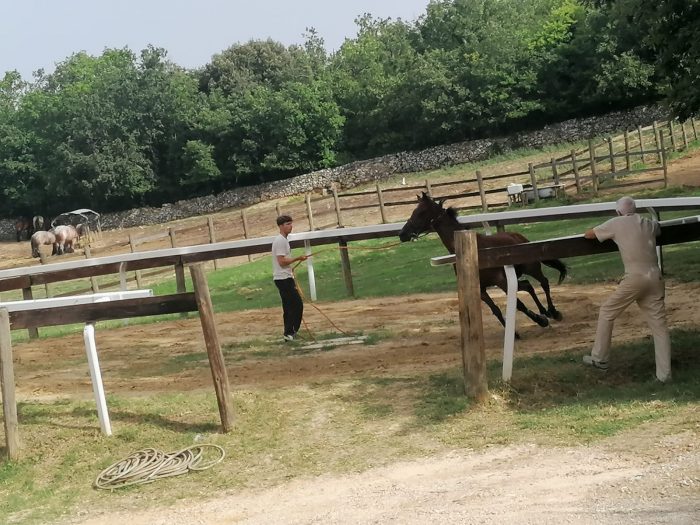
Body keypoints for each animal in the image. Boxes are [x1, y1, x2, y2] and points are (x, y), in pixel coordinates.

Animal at [396, 192, 568, 336]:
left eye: (420, 212)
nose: (402, 234)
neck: (471, 251)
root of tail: (519, 237)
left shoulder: (501, 281)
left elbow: (519, 304)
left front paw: (541, 321)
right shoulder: (481, 289)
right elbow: (496, 309)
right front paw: (516, 333)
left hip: (531, 268)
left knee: (543, 282)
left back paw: (553, 312)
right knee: (528, 286)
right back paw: (544, 311)